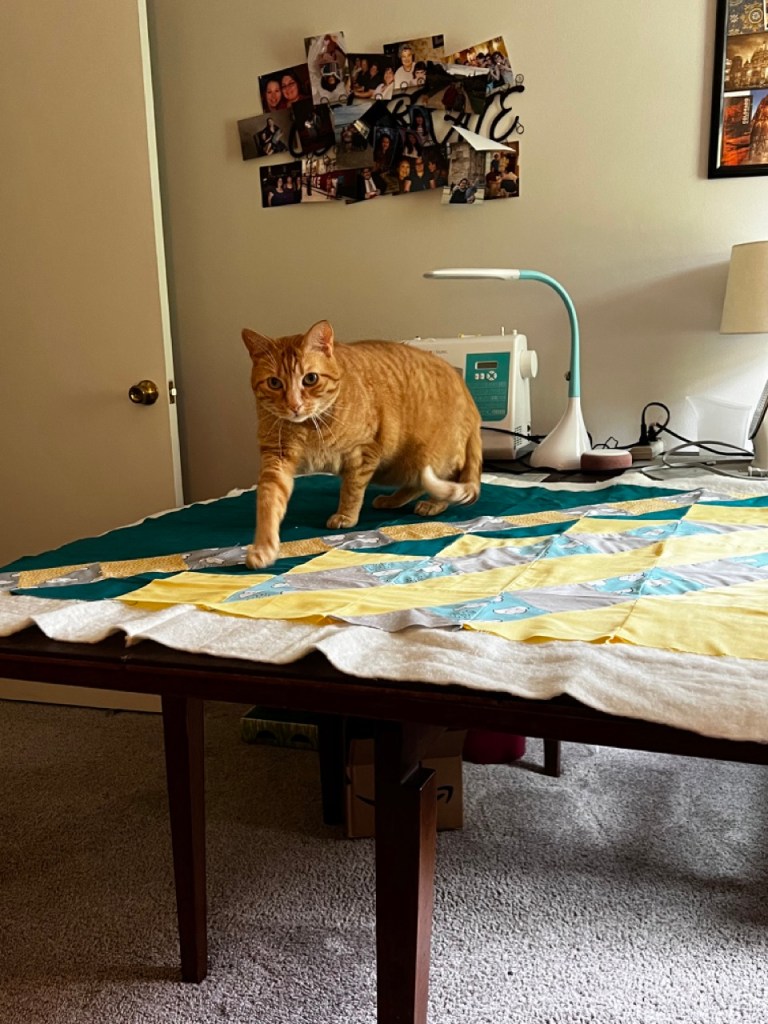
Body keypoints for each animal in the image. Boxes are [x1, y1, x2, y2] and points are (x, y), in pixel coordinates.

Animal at [241, 319, 482, 569]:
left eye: (310, 379)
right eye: (274, 383)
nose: (294, 406)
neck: (309, 427)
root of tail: (470, 399)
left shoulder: (363, 452)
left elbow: (352, 489)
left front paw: (346, 516)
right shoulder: (276, 459)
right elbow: (268, 503)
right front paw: (264, 548)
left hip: (427, 457)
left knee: (445, 478)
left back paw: (433, 504)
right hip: (405, 466)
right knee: (418, 483)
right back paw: (392, 500)